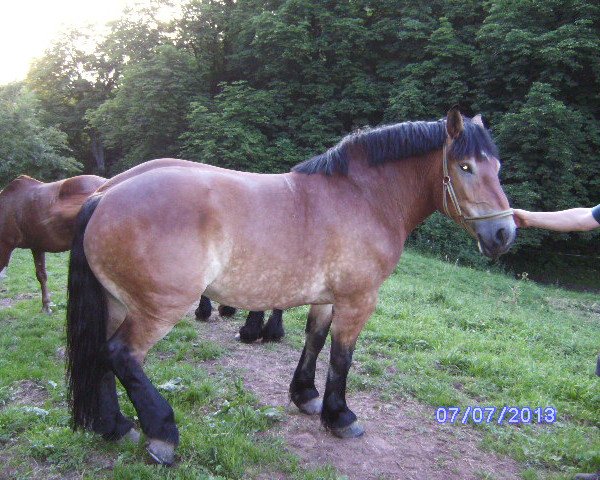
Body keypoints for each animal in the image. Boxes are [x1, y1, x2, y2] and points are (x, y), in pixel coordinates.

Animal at [65, 109, 516, 464]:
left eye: (496, 168)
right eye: (464, 167)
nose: (503, 234)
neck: (364, 197)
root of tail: (104, 197)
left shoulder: (327, 299)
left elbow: (314, 341)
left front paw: (306, 396)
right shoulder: (358, 301)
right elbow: (341, 357)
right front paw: (340, 416)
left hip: (117, 303)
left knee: (100, 356)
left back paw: (115, 426)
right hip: (158, 309)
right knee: (122, 355)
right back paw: (162, 433)